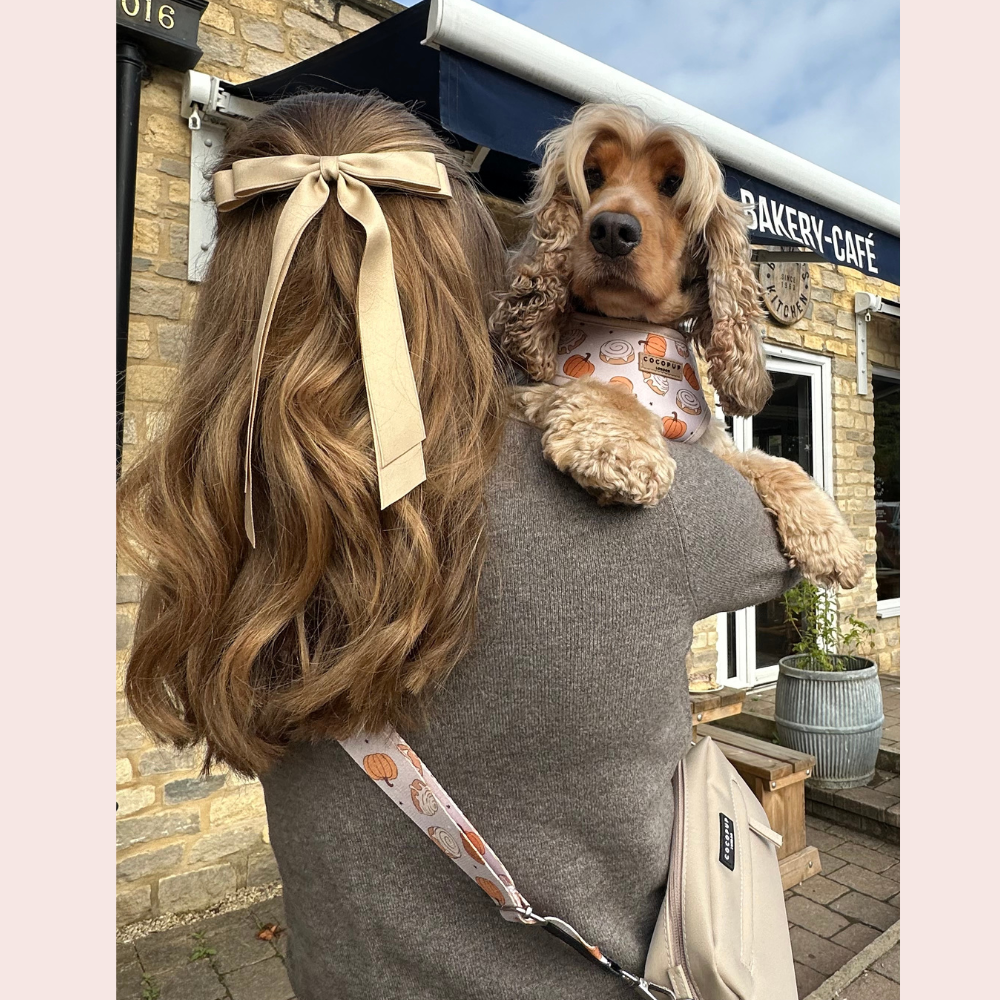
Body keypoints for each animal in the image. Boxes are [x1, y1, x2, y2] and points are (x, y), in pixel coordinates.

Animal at [492, 103, 868, 584]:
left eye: (673, 184)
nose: (611, 229)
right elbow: (600, 390)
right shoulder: (521, 394)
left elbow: (773, 462)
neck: (631, 328)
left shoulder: (711, 446)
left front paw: (831, 538)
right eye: (591, 175)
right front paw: (620, 452)